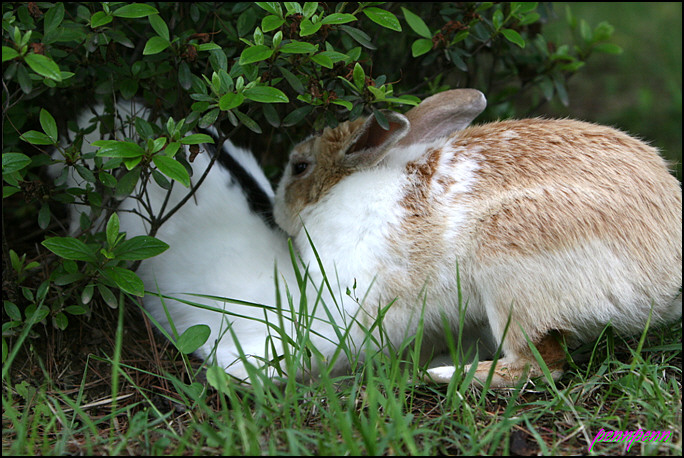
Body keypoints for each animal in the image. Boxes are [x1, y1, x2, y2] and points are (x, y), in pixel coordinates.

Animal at [274, 87, 684, 386]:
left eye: (300, 167)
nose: (277, 212)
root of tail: (667, 279)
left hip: (508, 275)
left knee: (539, 365)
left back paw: (443, 374)